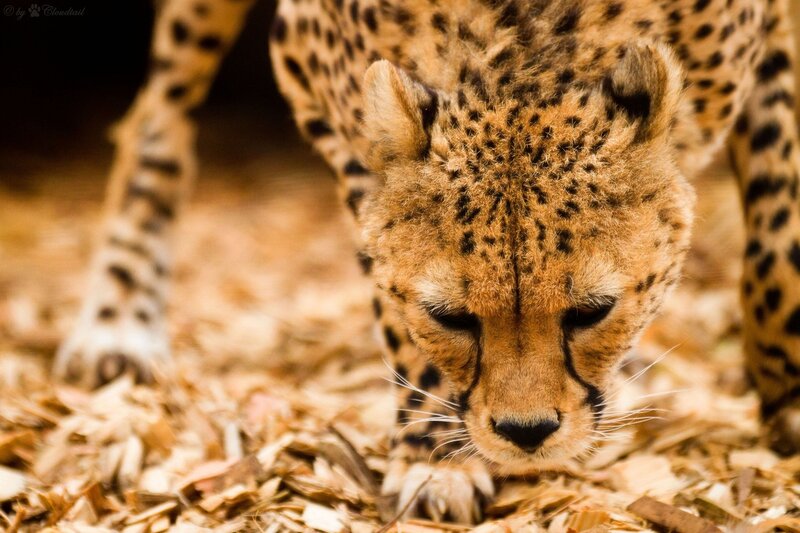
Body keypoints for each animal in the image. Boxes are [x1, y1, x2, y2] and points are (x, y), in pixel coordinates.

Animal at [54, 0, 800, 524]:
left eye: (593, 312)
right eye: (452, 316)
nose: (526, 433)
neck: (527, 48)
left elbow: (780, 235)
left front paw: (790, 399)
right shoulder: (313, 80)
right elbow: (393, 304)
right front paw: (437, 458)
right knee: (158, 117)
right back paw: (118, 323)